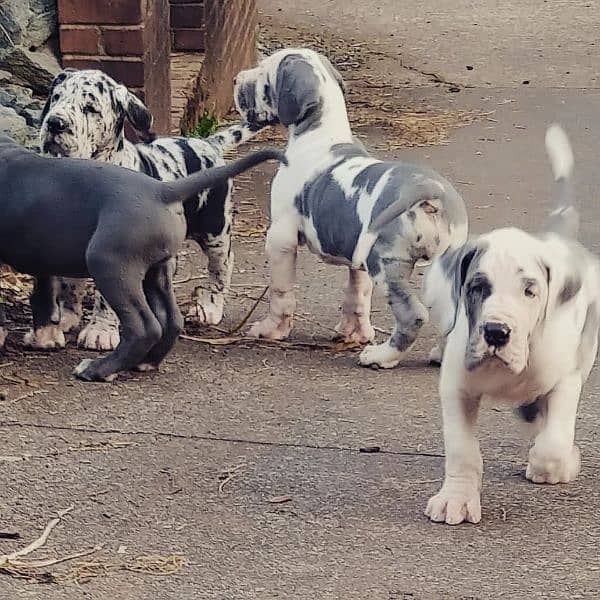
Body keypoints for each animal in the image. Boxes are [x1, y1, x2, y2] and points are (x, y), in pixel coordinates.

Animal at [0, 135, 286, 380]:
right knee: (171, 320)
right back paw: (146, 362)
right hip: (156, 270)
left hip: (109, 264)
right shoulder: (40, 253)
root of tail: (163, 191)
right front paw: (43, 337)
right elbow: (43, 296)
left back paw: (97, 370)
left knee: (144, 326)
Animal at [38, 68, 268, 352]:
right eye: (56, 97)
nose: (55, 123)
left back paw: (210, 308)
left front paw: (100, 330)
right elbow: (69, 283)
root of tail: (208, 144)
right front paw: (66, 317)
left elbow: (105, 299)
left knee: (222, 264)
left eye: (90, 108)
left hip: (215, 227)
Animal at [234, 49, 468, 368]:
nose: (236, 79)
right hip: (439, 267)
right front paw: (353, 332)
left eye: (262, 74)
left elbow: (281, 293)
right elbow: (356, 294)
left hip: (387, 263)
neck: (321, 133)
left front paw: (272, 330)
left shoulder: (281, 239)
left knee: (413, 315)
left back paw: (381, 356)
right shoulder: (357, 255)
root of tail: (433, 193)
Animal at [422, 125, 600, 524]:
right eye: (477, 287)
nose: (496, 332)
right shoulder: (456, 388)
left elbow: (553, 444)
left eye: (530, 291)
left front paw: (557, 464)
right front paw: (457, 498)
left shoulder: (566, 379)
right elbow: (462, 451)